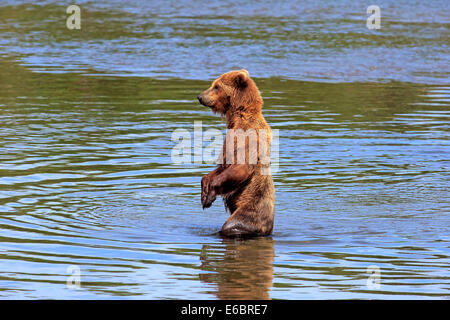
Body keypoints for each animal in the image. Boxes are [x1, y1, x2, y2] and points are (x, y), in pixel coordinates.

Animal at [197, 69, 274, 236]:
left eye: (216, 86)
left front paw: (210, 195)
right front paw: (204, 191)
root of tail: (268, 229)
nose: (200, 96)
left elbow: (241, 166)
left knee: (233, 225)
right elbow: (223, 165)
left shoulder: (248, 137)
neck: (239, 115)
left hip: (250, 210)